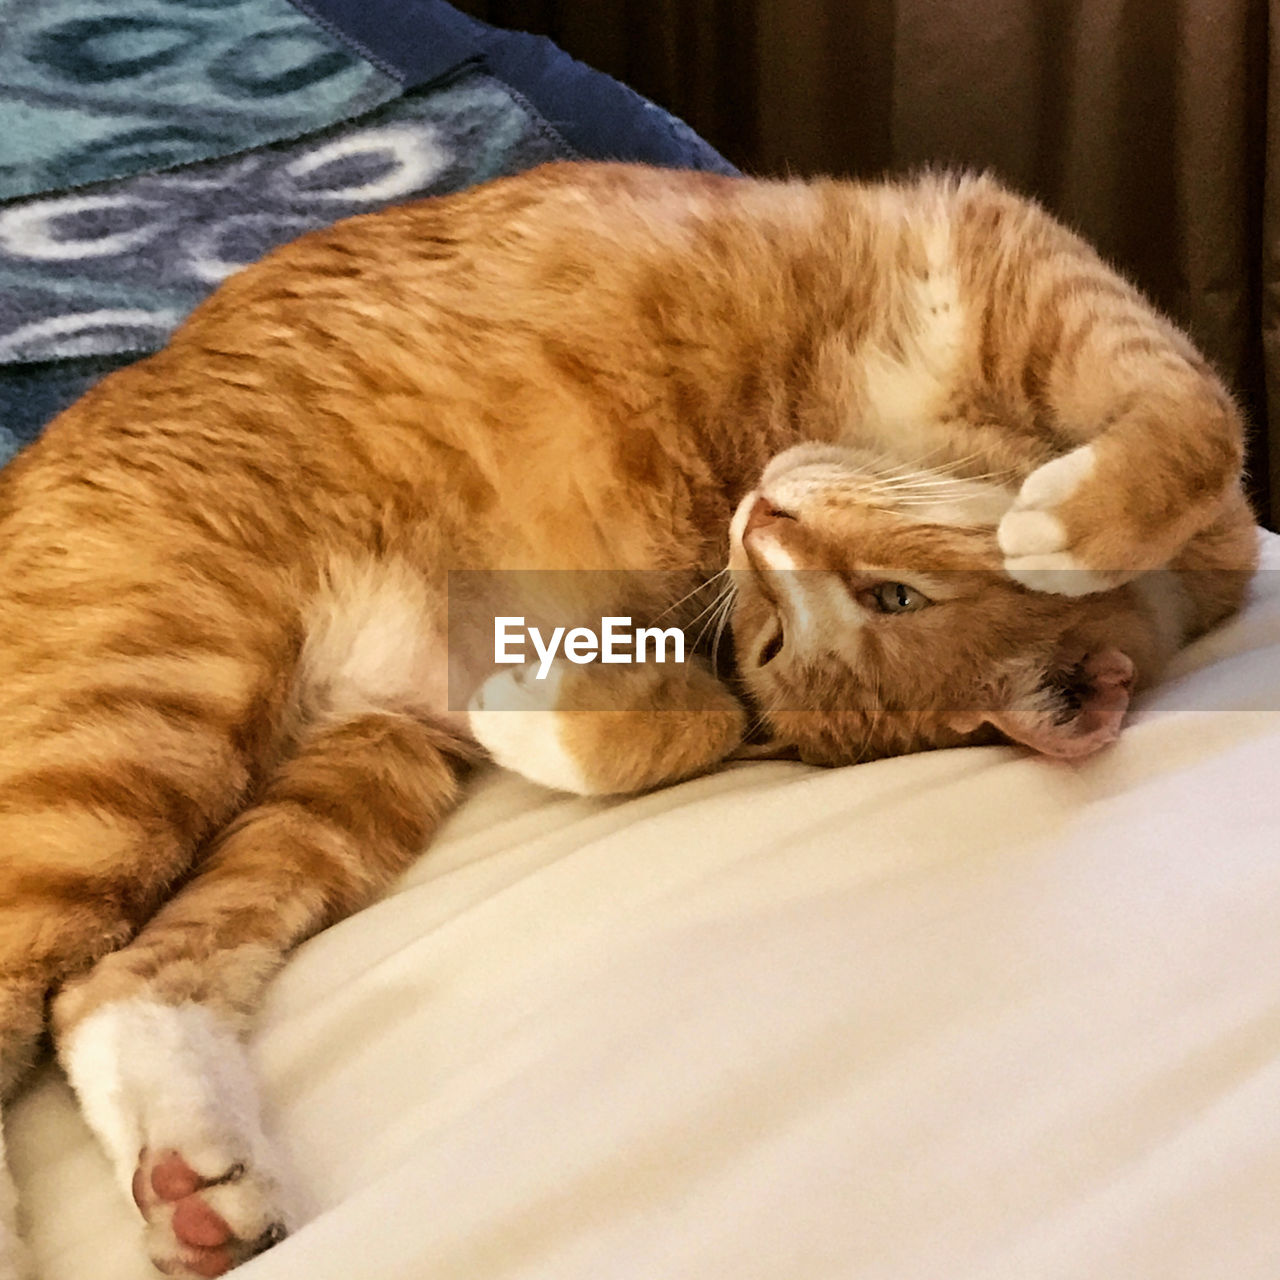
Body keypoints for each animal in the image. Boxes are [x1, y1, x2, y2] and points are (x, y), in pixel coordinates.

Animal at [0, 165, 1254, 1274]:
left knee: (115, 981)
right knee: (37, 976)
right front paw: (1069, 525)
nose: (765, 518)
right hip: (138, 707)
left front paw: (531, 705)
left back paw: (198, 1176)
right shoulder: (1028, 275)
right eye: (885, 598)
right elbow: (1194, 416)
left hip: (337, 776)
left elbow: (675, 727)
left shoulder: (656, 680)